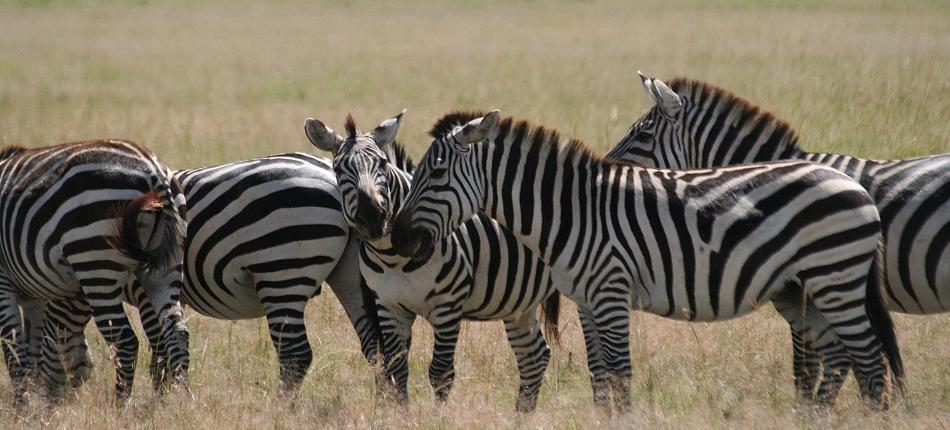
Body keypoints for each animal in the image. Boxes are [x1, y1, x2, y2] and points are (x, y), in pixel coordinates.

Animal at [0, 140, 192, 404]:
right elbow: (34, 344)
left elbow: (13, 347)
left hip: (95, 261)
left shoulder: (3, 282)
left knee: (125, 341)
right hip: (167, 266)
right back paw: (182, 402)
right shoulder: (32, 294)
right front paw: (34, 398)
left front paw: (23, 404)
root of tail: (154, 171)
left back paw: (120, 408)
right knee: (177, 332)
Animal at [306, 111, 564, 414]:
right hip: (518, 303)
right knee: (535, 356)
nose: (372, 217)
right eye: (338, 169)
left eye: (382, 163)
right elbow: (397, 368)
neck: (393, 257)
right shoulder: (389, 306)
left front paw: (439, 417)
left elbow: (441, 373)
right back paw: (522, 414)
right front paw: (401, 415)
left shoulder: (447, 307)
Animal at [392, 109, 908, 412]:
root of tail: (853, 184)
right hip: (806, 288)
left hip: (835, 277)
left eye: (436, 172)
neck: (573, 211)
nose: (395, 235)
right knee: (840, 357)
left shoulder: (610, 291)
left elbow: (620, 377)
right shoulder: (587, 300)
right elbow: (601, 378)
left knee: (869, 362)